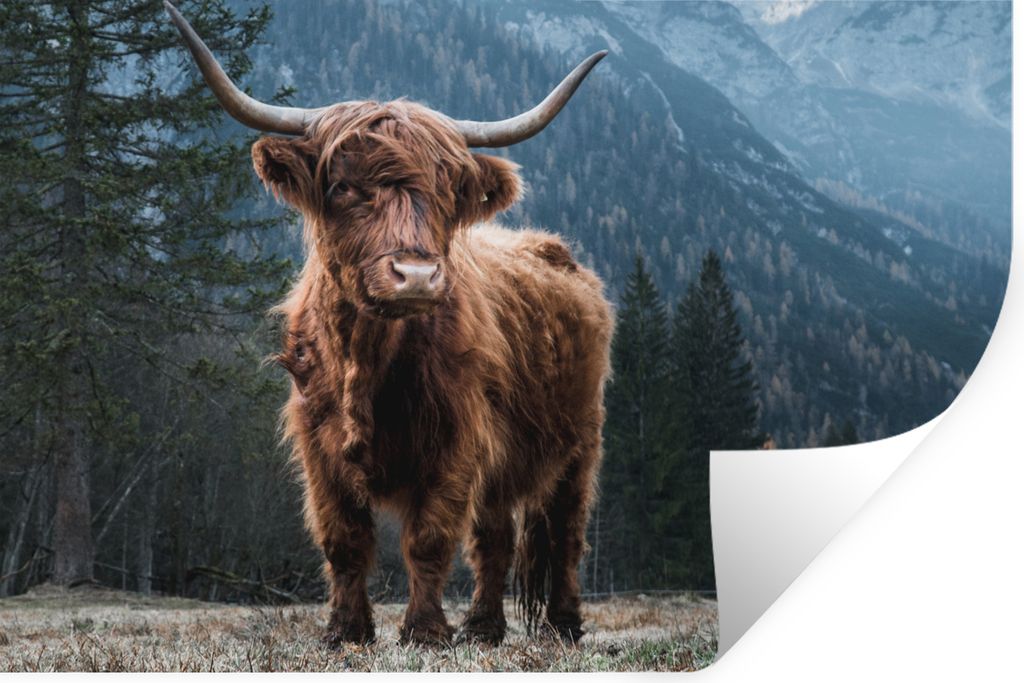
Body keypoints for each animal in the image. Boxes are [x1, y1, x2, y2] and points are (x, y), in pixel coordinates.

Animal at [166, 1, 613, 647]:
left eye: (448, 192)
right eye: (343, 186)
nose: (417, 275)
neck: (366, 359)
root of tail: (555, 250)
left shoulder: (456, 440)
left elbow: (429, 540)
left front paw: (424, 631)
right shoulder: (318, 446)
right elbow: (344, 540)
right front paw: (346, 631)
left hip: (581, 441)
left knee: (566, 534)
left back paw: (563, 626)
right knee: (496, 539)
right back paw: (483, 628)